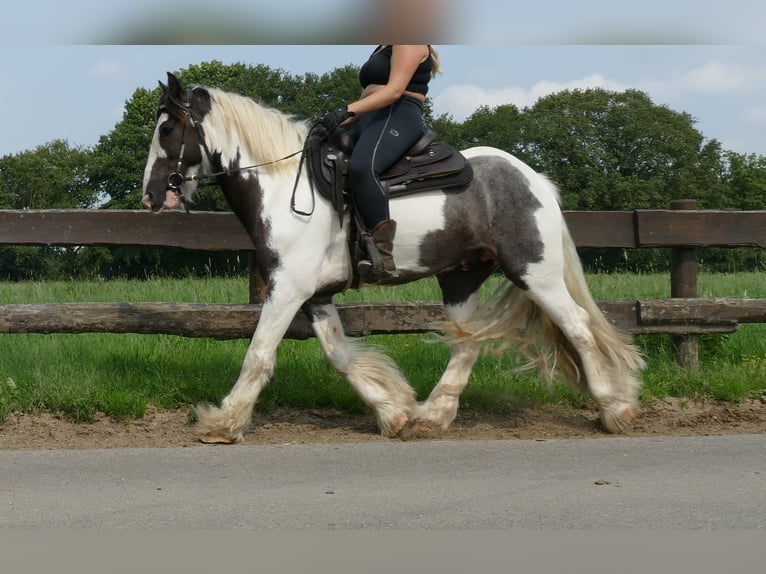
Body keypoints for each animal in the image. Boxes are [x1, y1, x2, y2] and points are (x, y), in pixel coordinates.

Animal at [141, 73, 644, 446]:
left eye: (167, 129)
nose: (151, 197)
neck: (285, 191)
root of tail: (533, 178)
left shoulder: (287, 289)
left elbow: (259, 355)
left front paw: (222, 424)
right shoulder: (314, 294)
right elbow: (340, 355)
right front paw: (393, 411)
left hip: (535, 273)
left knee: (579, 327)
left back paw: (614, 409)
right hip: (460, 278)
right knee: (467, 343)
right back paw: (432, 415)